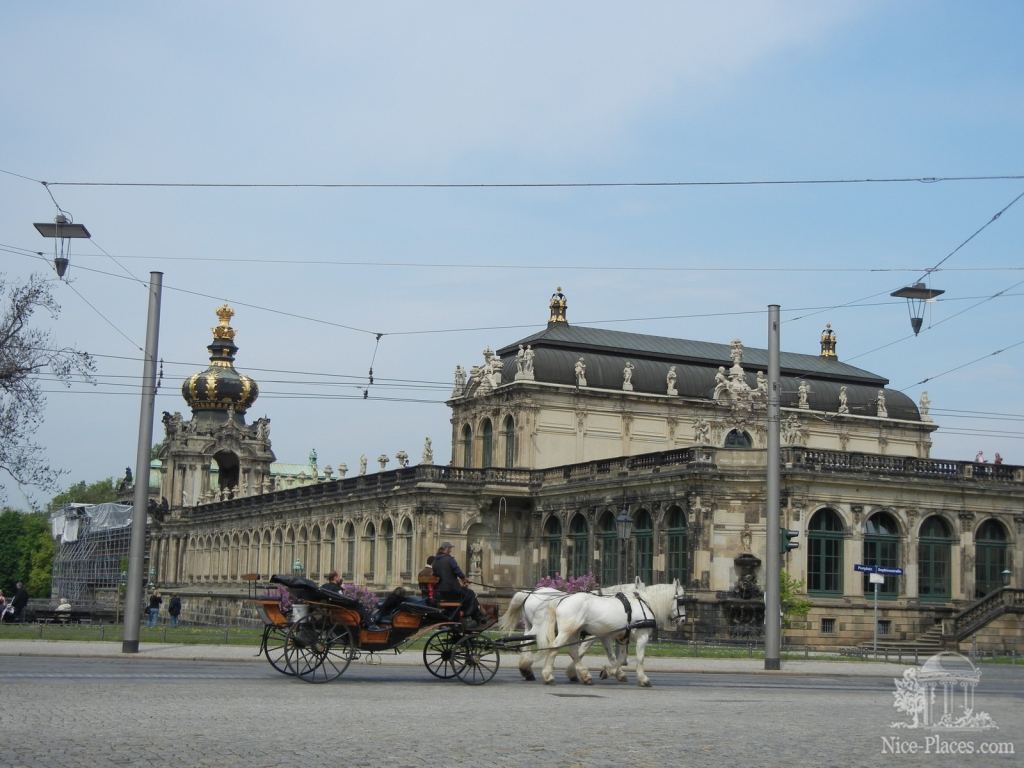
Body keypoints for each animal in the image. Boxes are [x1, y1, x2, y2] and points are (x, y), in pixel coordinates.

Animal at [497, 581, 647, 684]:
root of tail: (530, 593)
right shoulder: (596, 634)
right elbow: (582, 650)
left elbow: (608, 654)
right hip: (538, 626)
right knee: (527, 641)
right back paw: (527, 668)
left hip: (529, 625)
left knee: (525, 640)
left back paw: (526, 670)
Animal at [536, 581, 688, 688]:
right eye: (681, 600)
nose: (683, 620)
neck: (645, 604)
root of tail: (562, 600)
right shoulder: (642, 637)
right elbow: (639, 659)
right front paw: (643, 679)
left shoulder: (618, 637)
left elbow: (618, 658)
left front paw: (611, 671)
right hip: (567, 631)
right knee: (555, 647)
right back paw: (548, 676)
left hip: (574, 631)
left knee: (573, 651)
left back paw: (585, 675)